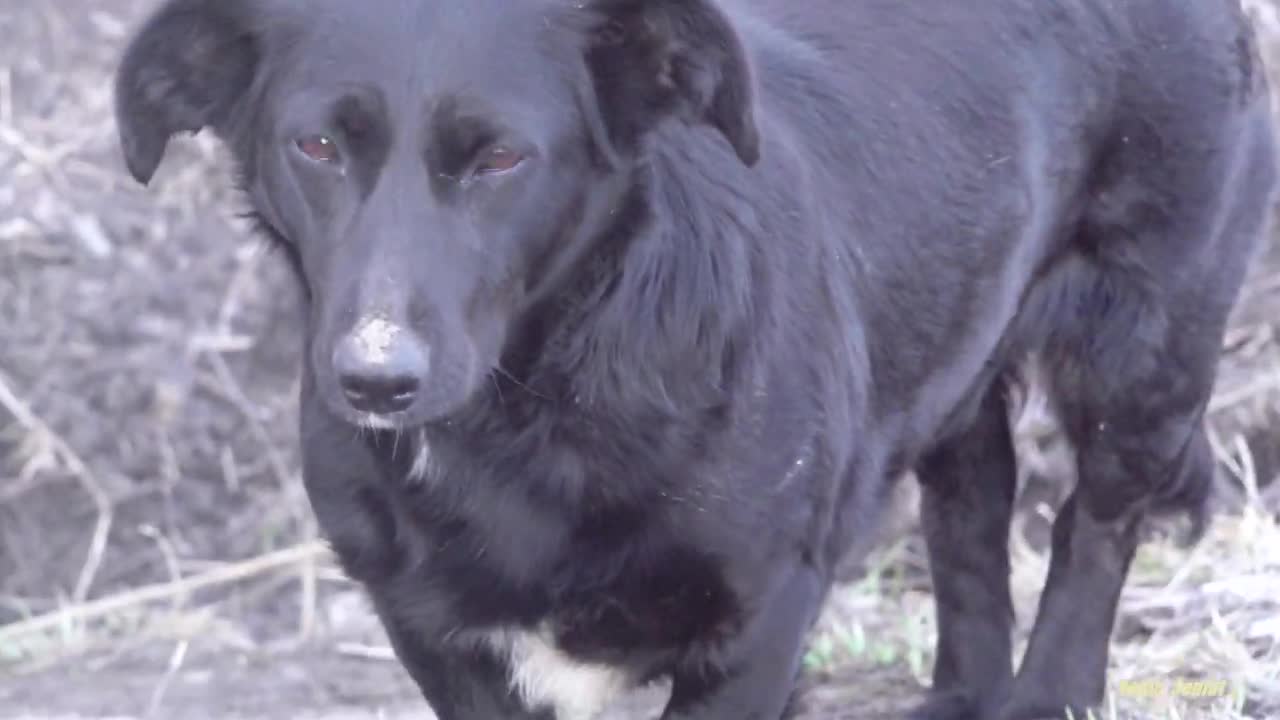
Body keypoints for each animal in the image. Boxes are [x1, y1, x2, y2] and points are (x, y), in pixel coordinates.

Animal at [115, 0, 1274, 712]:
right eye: (316, 146)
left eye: (500, 158)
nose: (374, 380)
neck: (539, 406)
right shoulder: (438, 637)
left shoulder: (756, 621)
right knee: (972, 501)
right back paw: (961, 696)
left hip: (1147, 344)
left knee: (1093, 528)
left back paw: (1047, 696)